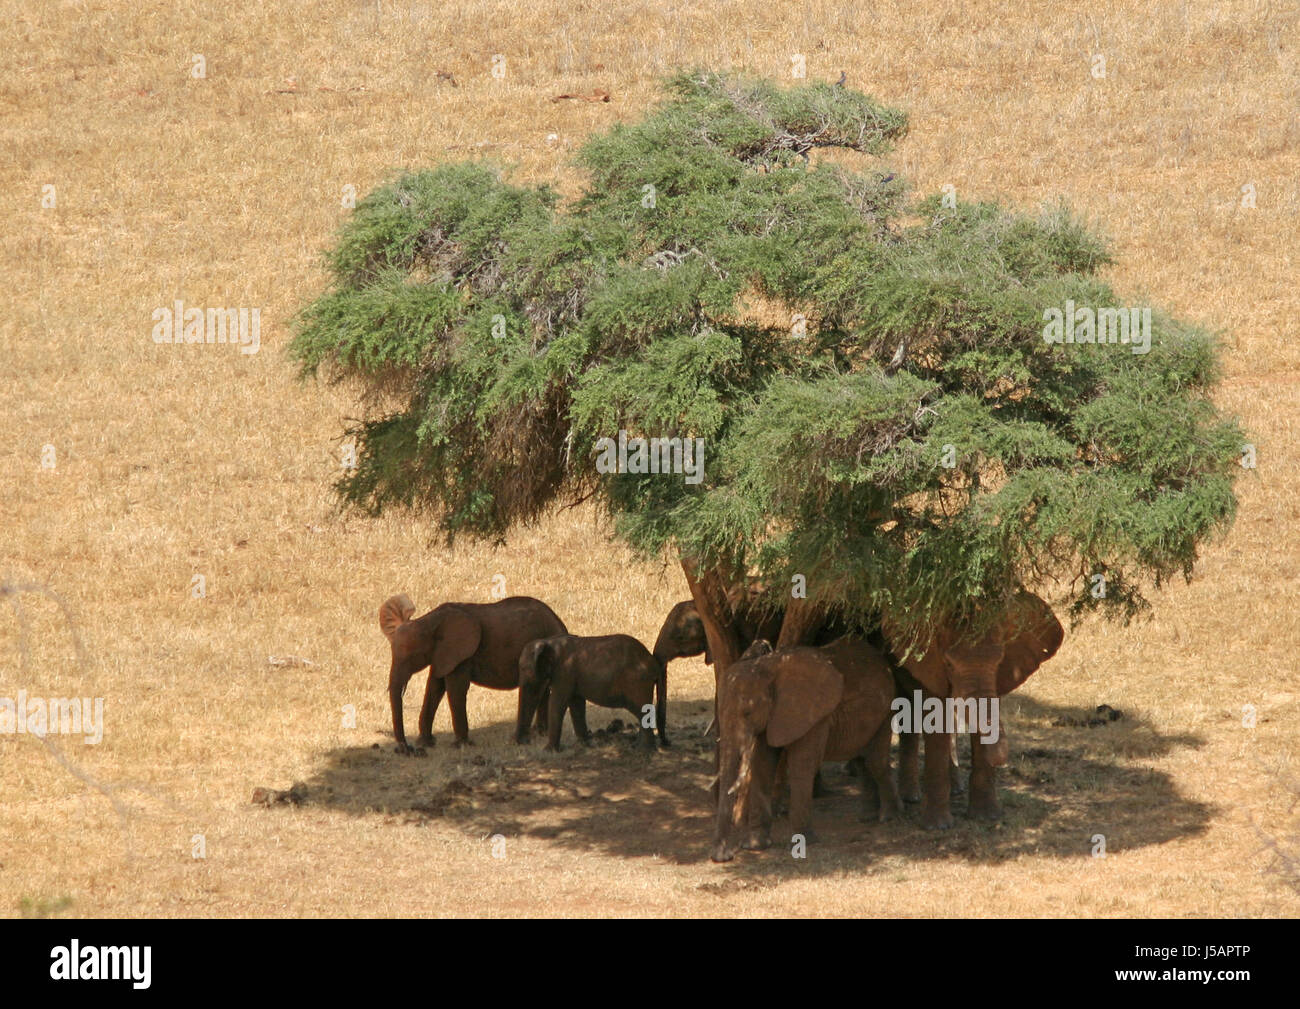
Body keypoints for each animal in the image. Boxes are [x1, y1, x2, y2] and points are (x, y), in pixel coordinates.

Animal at [382, 595, 572, 754]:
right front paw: (426, 743)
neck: (428, 621)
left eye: (412, 657)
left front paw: (461, 746)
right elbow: (435, 687)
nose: (407, 749)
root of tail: (560, 623)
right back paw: (539, 733)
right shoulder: (442, 654)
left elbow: (455, 688)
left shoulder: (461, 653)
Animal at [514, 634, 670, 754]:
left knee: (642, 711)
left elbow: (557, 703)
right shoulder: (572, 677)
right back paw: (638, 747)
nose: (525, 742)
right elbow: (576, 704)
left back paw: (644, 751)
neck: (549, 641)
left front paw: (548, 751)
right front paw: (584, 745)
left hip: (637, 682)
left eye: (524, 668)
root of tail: (653, 663)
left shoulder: (564, 673)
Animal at [712, 639, 904, 858]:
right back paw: (868, 817)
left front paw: (803, 841)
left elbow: (801, 764)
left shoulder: (814, 715)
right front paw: (754, 846)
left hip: (887, 707)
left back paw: (889, 818)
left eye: (747, 713)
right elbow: (762, 764)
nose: (725, 856)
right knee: (862, 760)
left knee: (875, 762)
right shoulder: (772, 716)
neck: (768, 667)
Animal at [878, 590, 1060, 826]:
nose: (1001, 761)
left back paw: (955, 789)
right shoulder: (929, 665)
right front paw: (938, 826)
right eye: (948, 665)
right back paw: (911, 797)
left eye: (1000, 660)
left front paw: (987, 816)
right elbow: (936, 715)